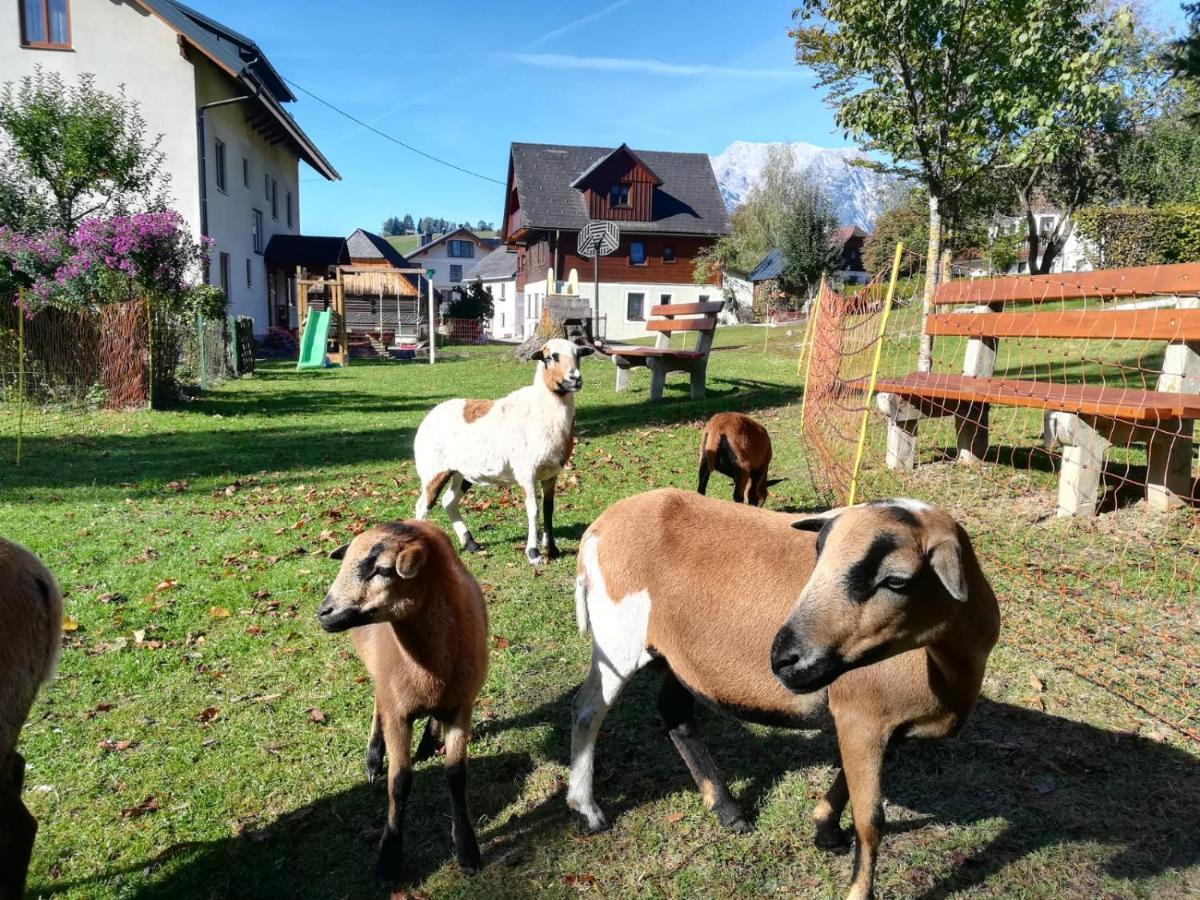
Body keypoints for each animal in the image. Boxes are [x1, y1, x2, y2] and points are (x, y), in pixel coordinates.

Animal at [319, 520, 492, 888]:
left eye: (384, 570)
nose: (323, 612)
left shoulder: (463, 707)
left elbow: (456, 775)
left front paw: (467, 850)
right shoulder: (397, 713)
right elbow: (398, 783)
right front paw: (388, 861)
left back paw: (427, 740)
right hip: (378, 676)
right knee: (377, 702)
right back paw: (373, 757)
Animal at [412, 338, 595, 564]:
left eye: (578, 354)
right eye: (550, 357)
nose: (575, 379)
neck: (540, 409)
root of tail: (429, 417)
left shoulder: (551, 474)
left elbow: (548, 509)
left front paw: (552, 550)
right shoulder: (526, 472)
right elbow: (533, 510)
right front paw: (533, 553)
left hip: (461, 472)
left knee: (449, 502)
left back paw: (471, 544)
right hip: (433, 469)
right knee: (422, 505)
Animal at [566, 489, 998, 900]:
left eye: (897, 581)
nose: (784, 658)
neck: (946, 664)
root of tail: (599, 529)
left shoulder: (878, 724)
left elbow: (847, 783)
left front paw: (825, 830)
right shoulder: (862, 715)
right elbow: (870, 821)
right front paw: (857, 887)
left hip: (678, 655)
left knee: (675, 714)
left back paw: (729, 812)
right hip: (619, 637)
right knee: (587, 711)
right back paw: (587, 810)